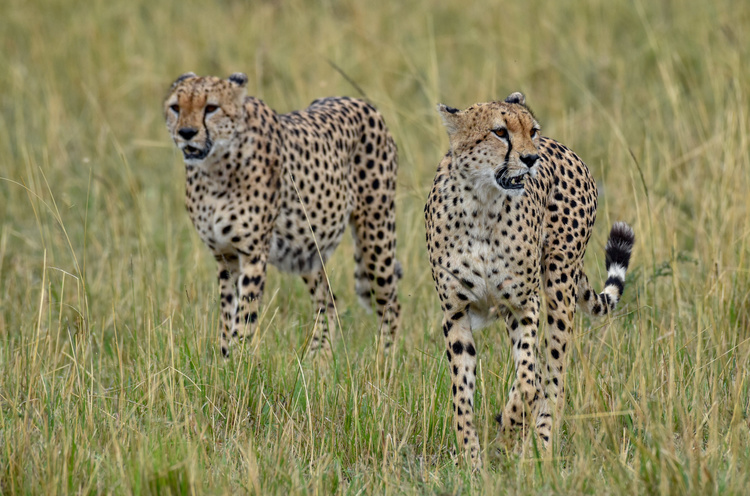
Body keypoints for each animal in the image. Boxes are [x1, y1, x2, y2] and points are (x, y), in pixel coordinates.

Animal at [162, 71, 402, 358]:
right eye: (176, 107)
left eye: (211, 108)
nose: (186, 133)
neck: (215, 168)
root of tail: (361, 102)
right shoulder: (224, 256)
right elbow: (227, 315)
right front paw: (225, 360)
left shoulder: (253, 254)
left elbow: (244, 317)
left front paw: (238, 363)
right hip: (307, 246)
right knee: (328, 303)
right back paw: (317, 361)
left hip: (375, 235)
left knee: (390, 303)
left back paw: (386, 360)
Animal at [426, 93, 632, 468]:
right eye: (499, 132)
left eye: (530, 130)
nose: (530, 158)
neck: (482, 204)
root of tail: (564, 148)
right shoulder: (455, 313)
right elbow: (462, 393)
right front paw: (471, 461)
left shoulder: (524, 305)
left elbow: (527, 381)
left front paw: (509, 428)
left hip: (559, 287)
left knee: (552, 377)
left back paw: (541, 448)